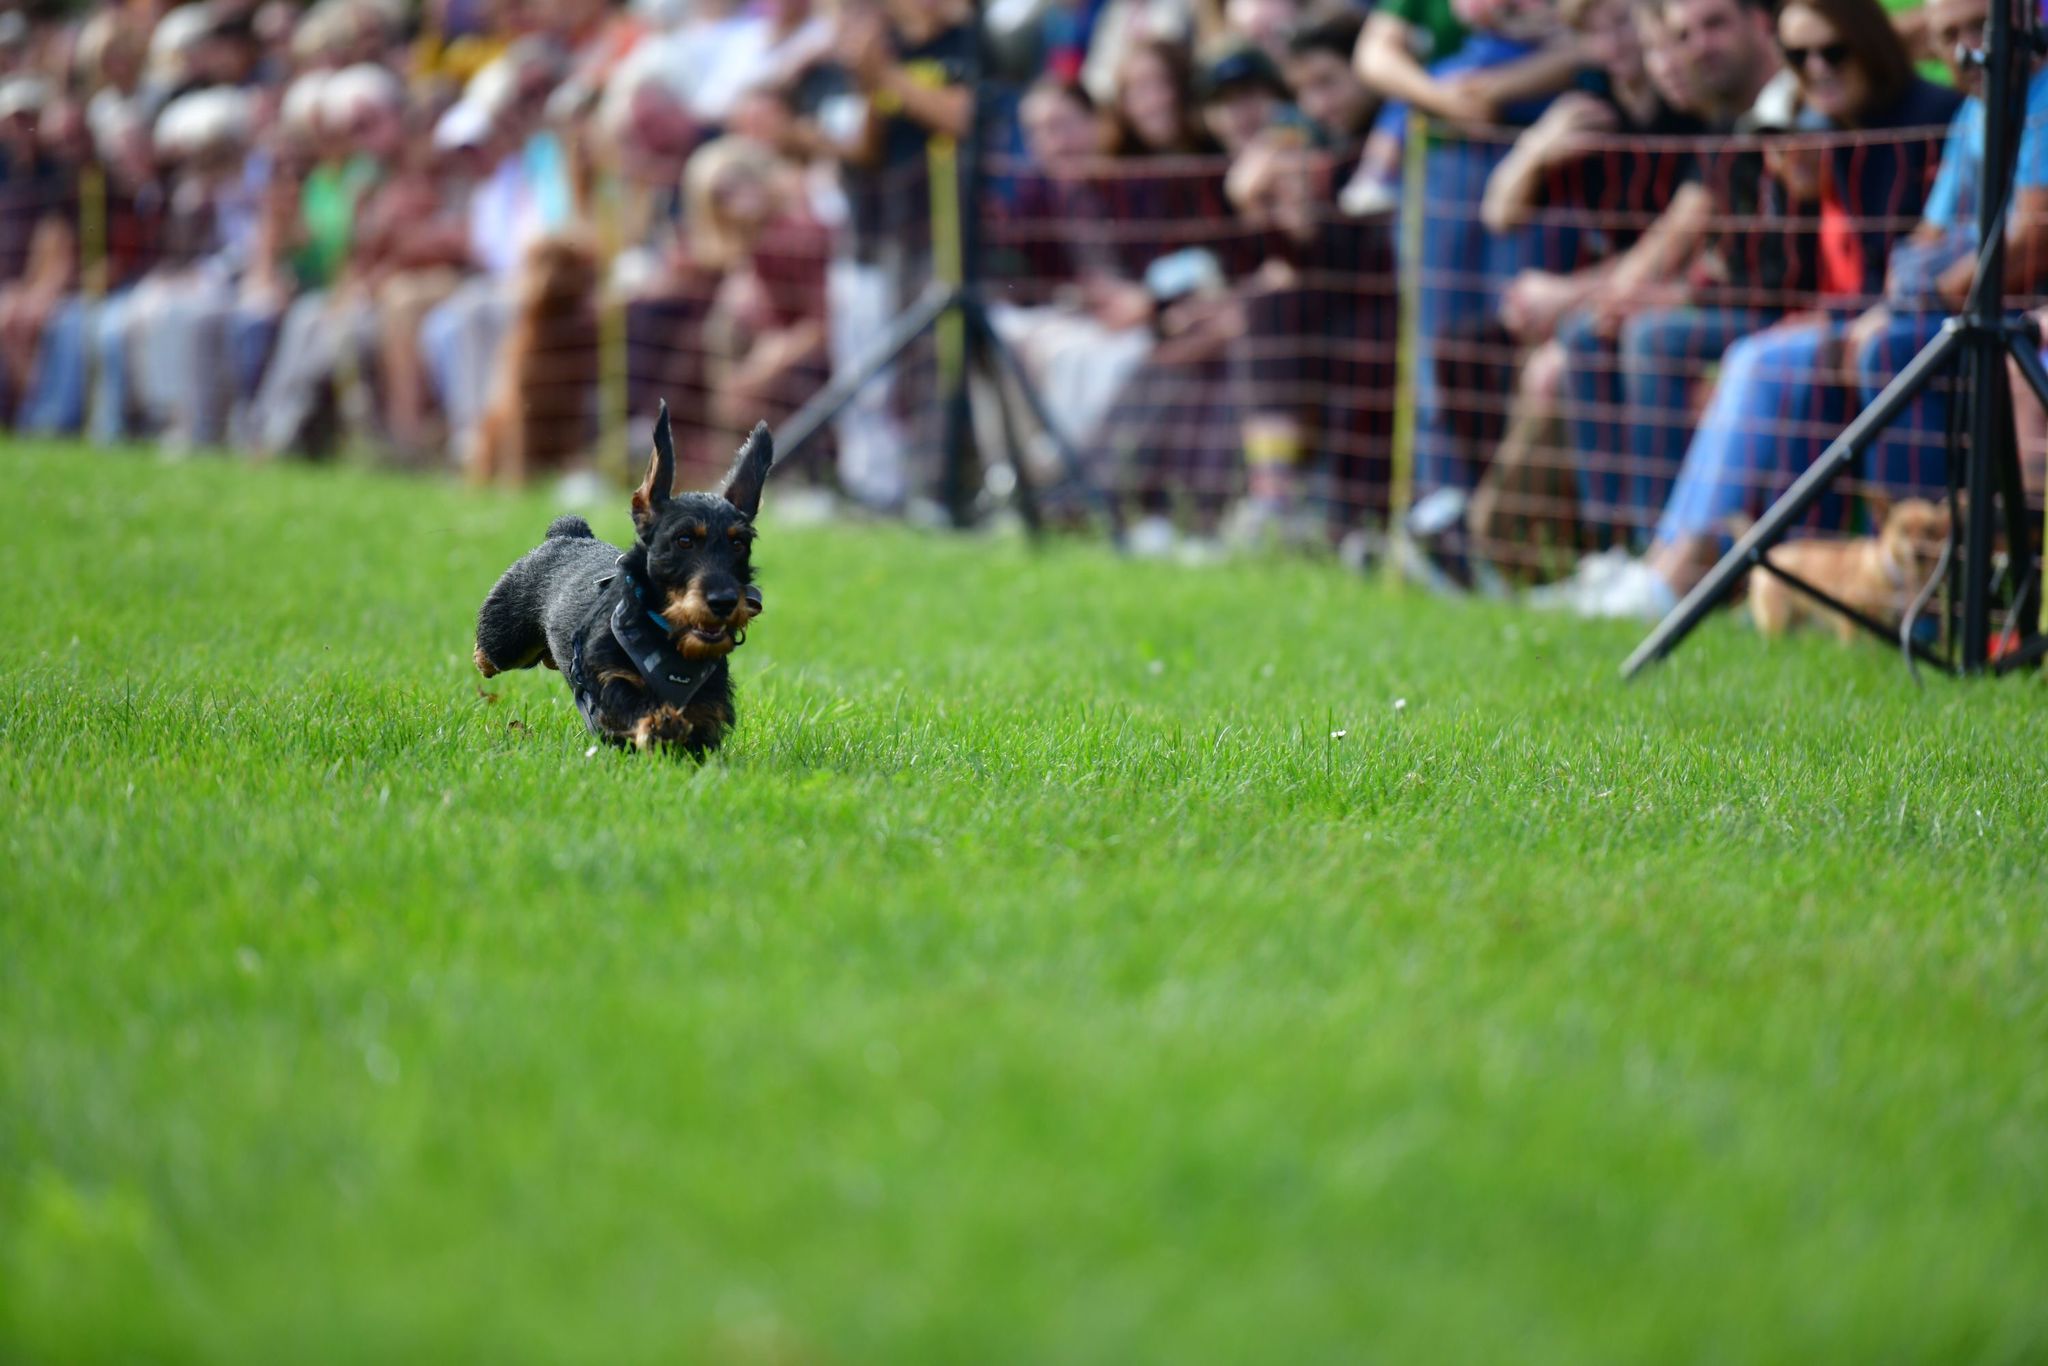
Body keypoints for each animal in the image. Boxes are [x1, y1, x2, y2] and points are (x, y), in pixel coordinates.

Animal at [464, 232, 593, 489]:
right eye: (541, 259)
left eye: (565, 260)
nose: (550, 281)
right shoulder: (523, 398)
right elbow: (520, 448)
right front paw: (516, 484)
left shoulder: (572, 402)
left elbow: (570, 445)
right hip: (490, 426)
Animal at [471, 403, 770, 757]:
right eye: (683, 540)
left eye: (739, 543)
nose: (723, 602)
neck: (667, 639)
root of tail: (569, 533)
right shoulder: (610, 680)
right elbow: (631, 705)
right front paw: (660, 723)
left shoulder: (708, 710)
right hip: (506, 640)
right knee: (489, 653)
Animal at [1744, 499, 1949, 643]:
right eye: (1903, 529)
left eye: (1930, 530)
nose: (1920, 553)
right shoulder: (1850, 610)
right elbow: (1851, 643)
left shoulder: (1886, 622)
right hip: (1778, 617)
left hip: (1795, 620)